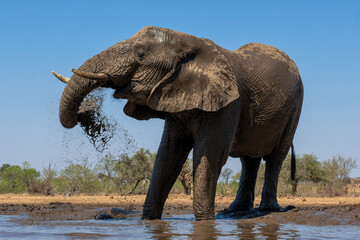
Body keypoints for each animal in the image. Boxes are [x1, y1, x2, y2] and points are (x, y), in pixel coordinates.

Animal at [52, 25, 302, 219]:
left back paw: (268, 209)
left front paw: (204, 223)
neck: (189, 44)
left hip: (295, 107)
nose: (84, 115)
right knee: (248, 159)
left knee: (275, 157)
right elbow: (168, 156)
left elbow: (209, 155)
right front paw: (150, 220)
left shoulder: (229, 103)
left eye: (140, 54)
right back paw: (235, 211)